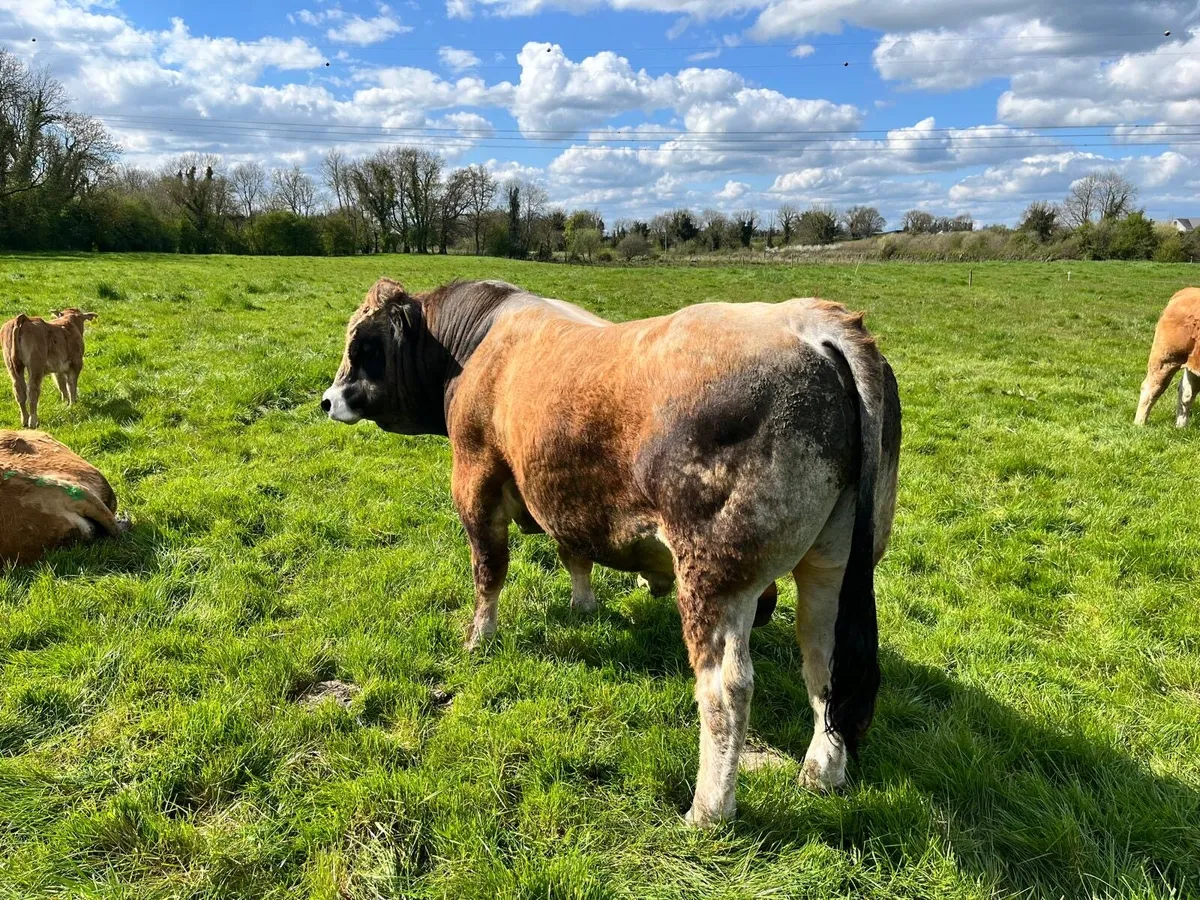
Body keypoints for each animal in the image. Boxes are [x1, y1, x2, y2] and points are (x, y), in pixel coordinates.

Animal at [321, 278, 901, 826]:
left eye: (364, 343)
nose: (327, 399)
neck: (476, 345)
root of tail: (810, 321)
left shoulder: (476, 481)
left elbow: (489, 571)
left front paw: (479, 639)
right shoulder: (565, 498)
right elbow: (574, 555)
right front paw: (584, 606)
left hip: (717, 578)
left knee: (727, 690)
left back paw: (708, 810)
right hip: (832, 568)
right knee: (826, 667)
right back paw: (821, 773)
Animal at [1135, 287, 1200, 427]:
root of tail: (1187, 291)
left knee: (1186, 393)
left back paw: (1181, 427)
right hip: (1165, 359)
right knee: (1151, 388)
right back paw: (1139, 424)